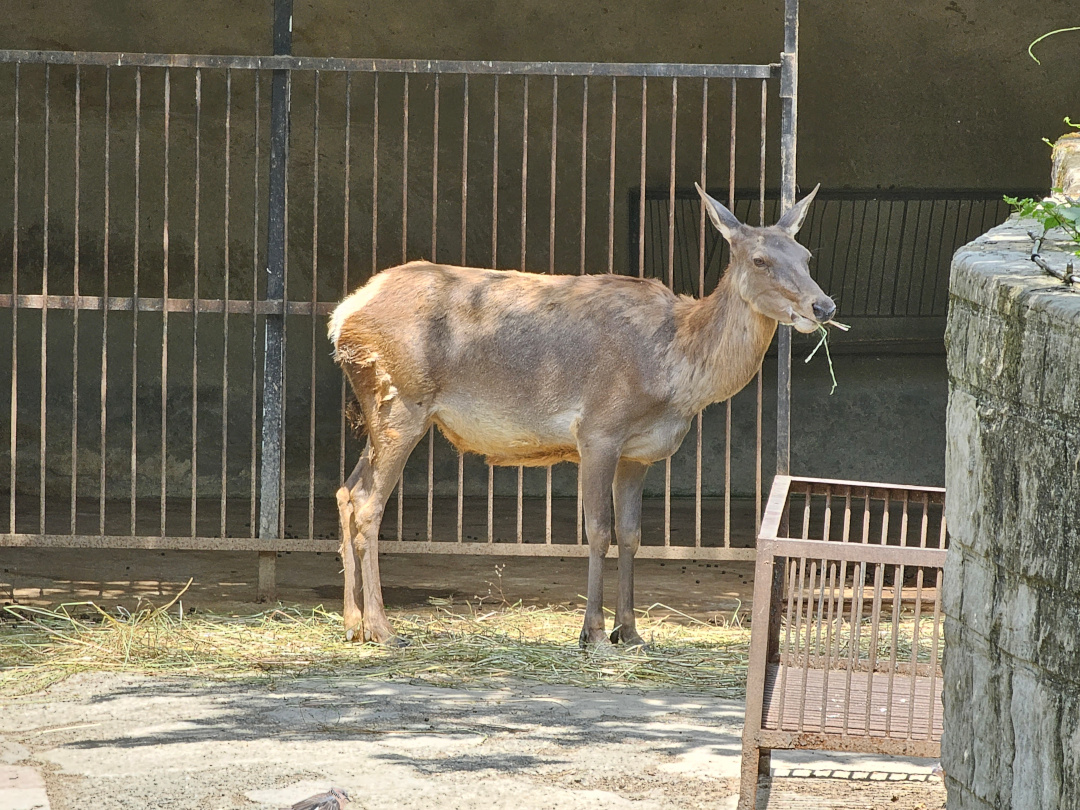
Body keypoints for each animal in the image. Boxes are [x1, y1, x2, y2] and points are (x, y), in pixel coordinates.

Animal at [328, 183, 834, 647]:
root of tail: (342, 316)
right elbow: (597, 530)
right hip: (403, 403)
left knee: (346, 491)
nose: (823, 305)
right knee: (368, 504)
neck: (674, 375)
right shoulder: (598, 430)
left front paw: (630, 632)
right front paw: (592, 633)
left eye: (806, 255)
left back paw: (353, 624)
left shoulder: (639, 453)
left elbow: (631, 535)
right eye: (759, 260)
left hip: (377, 412)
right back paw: (382, 629)